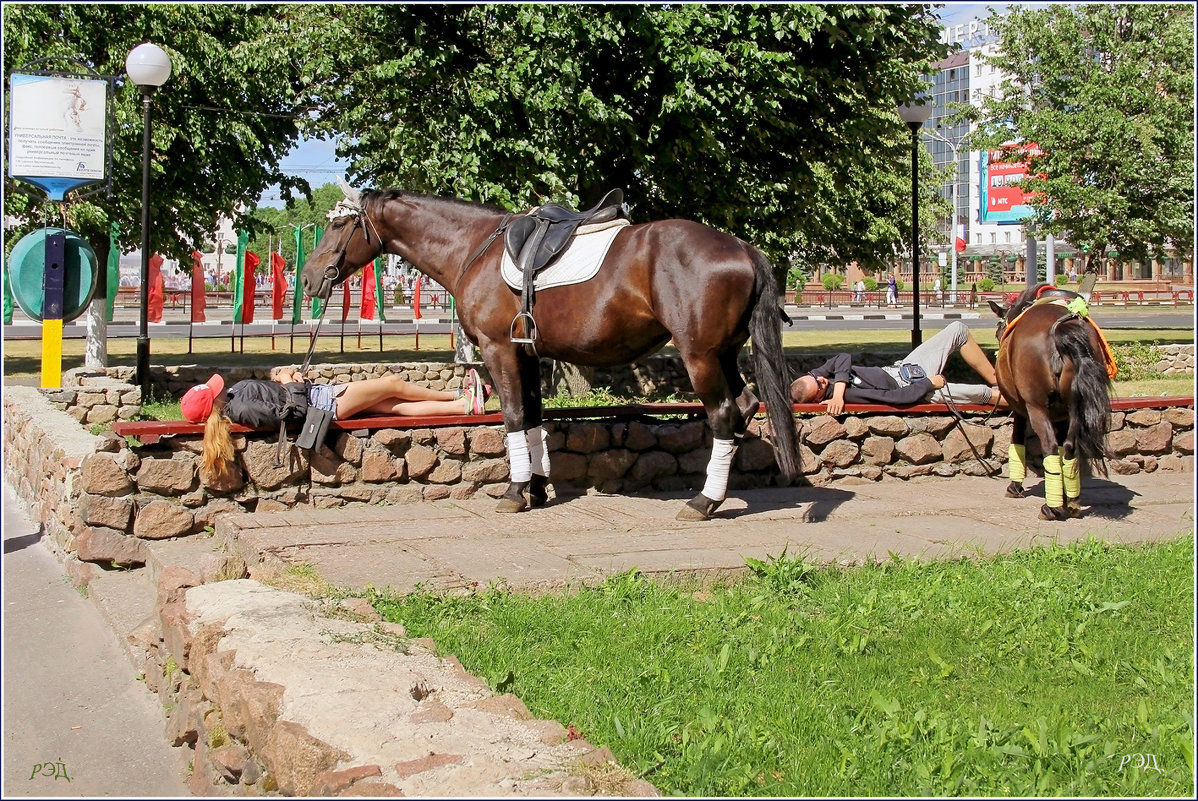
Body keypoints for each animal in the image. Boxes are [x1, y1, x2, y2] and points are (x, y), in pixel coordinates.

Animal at [299, 185, 800, 519]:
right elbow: (535, 418)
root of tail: (743, 248)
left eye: (339, 223)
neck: (474, 248)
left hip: (700, 356)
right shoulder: (527, 354)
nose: (308, 278)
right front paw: (537, 488)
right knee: (745, 405)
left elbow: (514, 418)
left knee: (723, 414)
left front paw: (514, 491)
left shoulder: (499, 350)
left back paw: (703, 501)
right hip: (724, 354)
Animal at [991, 283, 1111, 522]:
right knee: (1069, 447)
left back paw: (1051, 508)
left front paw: (1015, 486)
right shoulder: (1063, 414)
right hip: (1075, 406)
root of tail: (1059, 328)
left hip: (1036, 406)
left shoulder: (1020, 409)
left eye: (998, 330)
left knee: (1050, 445)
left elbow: (1017, 439)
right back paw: (1071, 503)